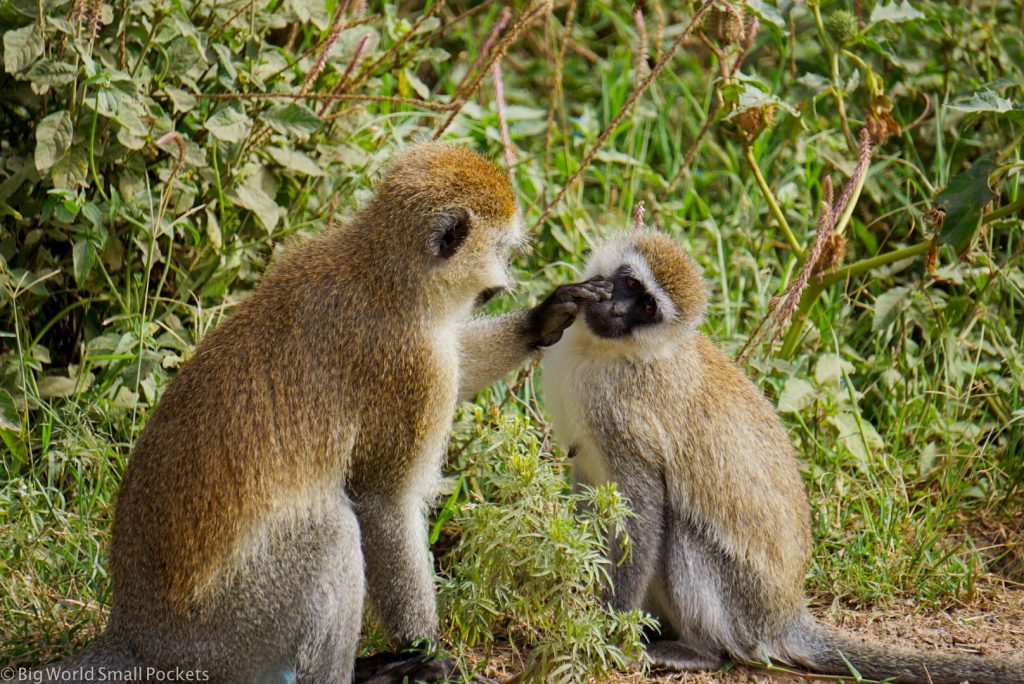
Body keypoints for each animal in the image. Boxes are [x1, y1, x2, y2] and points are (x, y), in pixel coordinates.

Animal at [29, 141, 606, 679]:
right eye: (504, 250)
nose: (507, 280)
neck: (384, 272)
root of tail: (136, 636)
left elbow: (462, 361)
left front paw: (542, 318)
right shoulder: (414, 369)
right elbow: (384, 503)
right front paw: (423, 651)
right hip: (234, 630)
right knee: (332, 532)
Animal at [544, 229, 1024, 684]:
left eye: (646, 308)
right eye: (628, 283)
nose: (615, 309)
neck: (611, 352)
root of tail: (785, 617)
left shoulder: (626, 421)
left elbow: (640, 513)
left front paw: (605, 630)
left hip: (743, 604)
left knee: (678, 528)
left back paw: (699, 652)